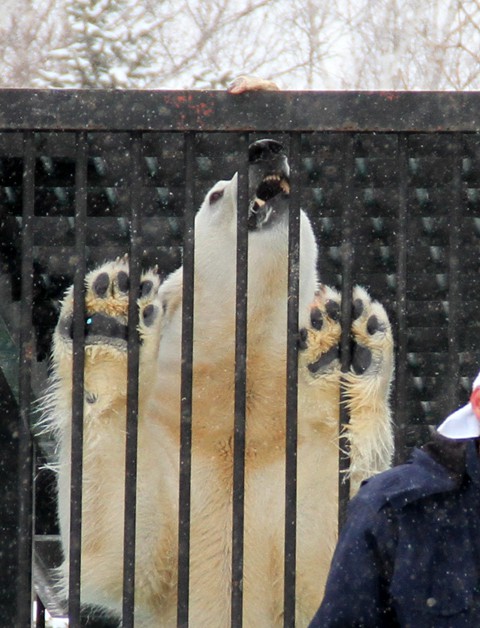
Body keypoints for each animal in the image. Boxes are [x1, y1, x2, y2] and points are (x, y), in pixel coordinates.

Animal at [45, 140, 396, 624]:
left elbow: (327, 557)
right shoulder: (177, 448)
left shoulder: (286, 458)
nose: (265, 149)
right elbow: (120, 542)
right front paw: (108, 323)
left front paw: (342, 352)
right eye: (214, 195)